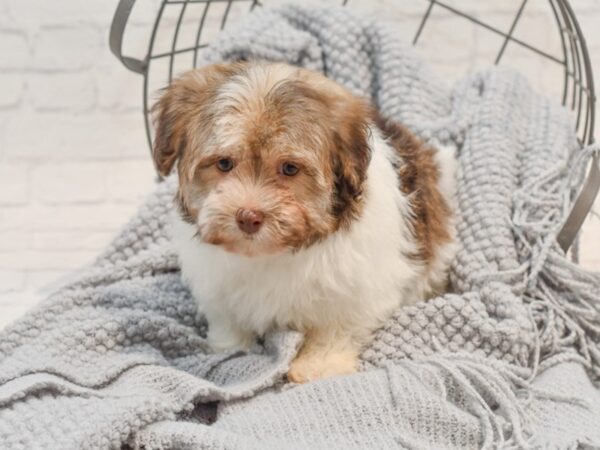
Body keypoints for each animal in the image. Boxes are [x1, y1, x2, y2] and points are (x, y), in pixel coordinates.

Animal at [152, 60, 458, 384]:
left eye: (290, 168)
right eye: (224, 163)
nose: (248, 217)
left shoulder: (357, 289)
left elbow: (337, 327)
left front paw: (319, 365)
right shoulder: (218, 287)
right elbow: (227, 320)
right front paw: (229, 349)